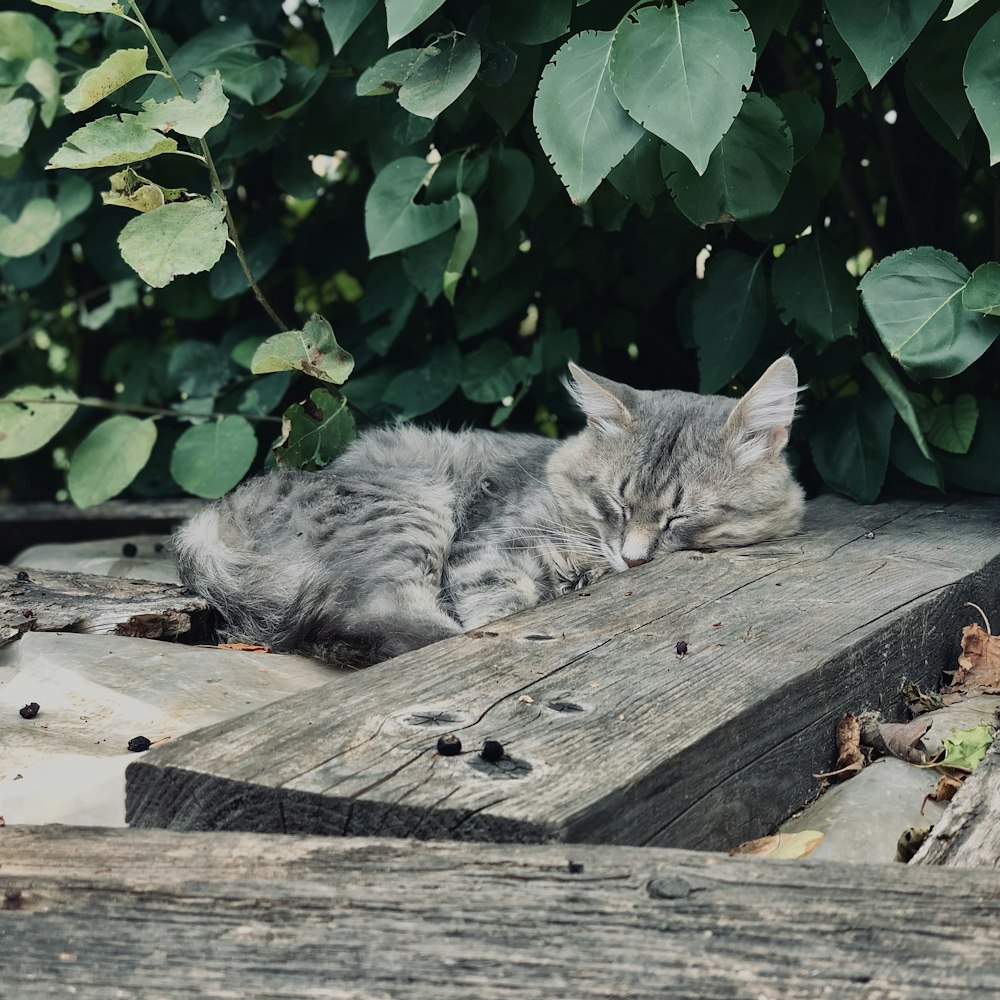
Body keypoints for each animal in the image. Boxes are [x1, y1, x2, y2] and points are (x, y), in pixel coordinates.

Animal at [176, 356, 804, 668]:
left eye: (680, 517)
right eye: (614, 502)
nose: (633, 561)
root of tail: (206, 523)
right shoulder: (489, 550)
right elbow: (498, 603)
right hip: (411, 510)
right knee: (378, 621)